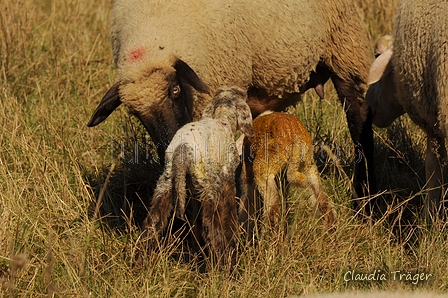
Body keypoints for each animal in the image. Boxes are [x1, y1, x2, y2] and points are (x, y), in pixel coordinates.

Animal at [86, 0, 374, 201]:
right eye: (135, 113)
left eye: (175, 90)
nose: (167, 146)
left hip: (344, 45)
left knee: (359, 119)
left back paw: (365, 197)